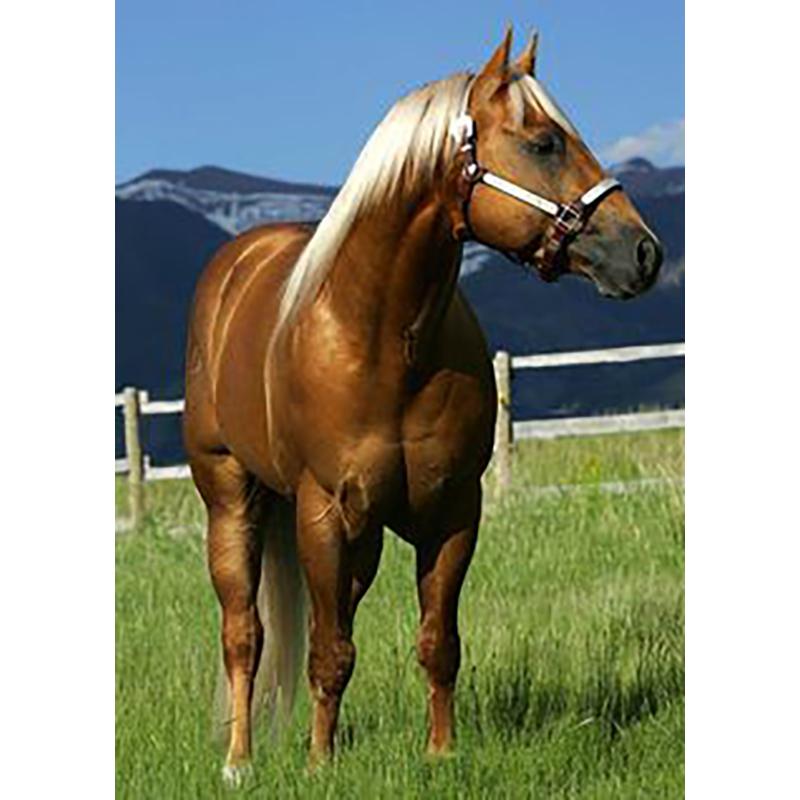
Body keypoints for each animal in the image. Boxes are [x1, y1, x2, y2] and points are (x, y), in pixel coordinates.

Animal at [183, 27, 662, 782]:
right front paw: (320, 767)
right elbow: (327, 650)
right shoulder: (323, 515)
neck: (384, 343)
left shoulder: (452, 514)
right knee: (244, 633)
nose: (643, 253)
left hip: (366, 540)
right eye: (544, 143)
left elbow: (437, 641)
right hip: (231, 499)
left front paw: (440, 753)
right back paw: (240, 760)